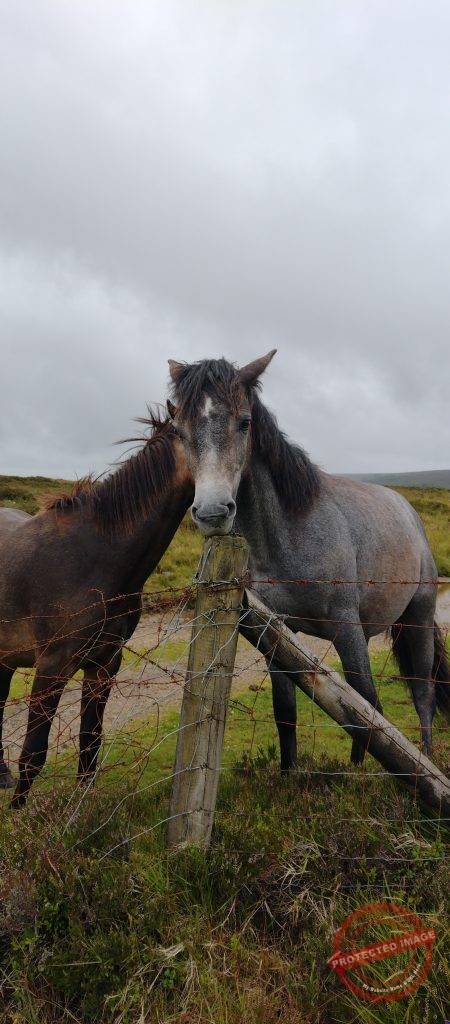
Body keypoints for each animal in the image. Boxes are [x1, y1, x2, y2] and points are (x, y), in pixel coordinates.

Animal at [0, 414, 192, 806]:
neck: (97, 556)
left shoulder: (104, 663)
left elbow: (90, 744)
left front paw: (82, 808)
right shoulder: (52, 666)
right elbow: (33, 752)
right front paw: (19, 813)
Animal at [166, 351, 449, 770]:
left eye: (244, 422)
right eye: (179, 430)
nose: (213, 512)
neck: (287, 536)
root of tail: (408, 511)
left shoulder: (345, 626)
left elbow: (368, 705)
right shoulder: (277, 633)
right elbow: (288, 711)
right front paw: (291, 773)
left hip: (417, 618)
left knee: (423, 693)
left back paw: (426, 757)